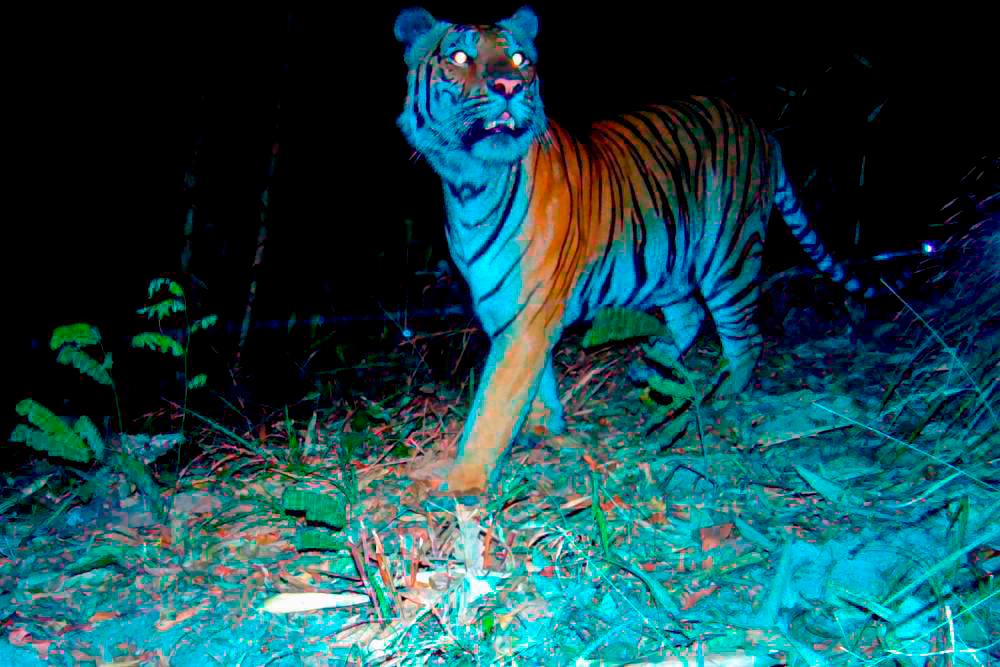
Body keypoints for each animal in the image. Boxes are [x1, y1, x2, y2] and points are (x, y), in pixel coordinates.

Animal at [394, 5, 872, 495]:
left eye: (520, 59)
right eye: (459, 56)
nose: (510, 86)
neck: (470, 184)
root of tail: (761, 129)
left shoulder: (528, 313)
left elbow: (494, 401)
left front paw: (463, 482)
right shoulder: (504, 308)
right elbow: (534, 379)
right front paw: (546, 426)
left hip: (730, 258)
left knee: (745, 339)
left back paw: (722, 395)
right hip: (671, 261)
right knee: (690, 316)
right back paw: (654, 362)